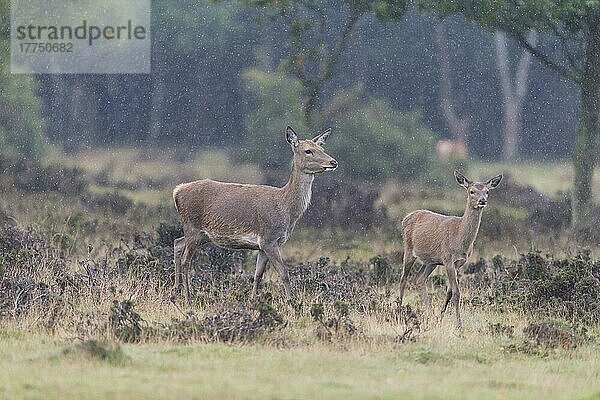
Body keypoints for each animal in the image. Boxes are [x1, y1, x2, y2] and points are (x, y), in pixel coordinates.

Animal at [171, 126, 338, 304]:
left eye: (322, 148)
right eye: (308, 151)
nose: (333, 162)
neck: (285, 207)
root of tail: (177, 191)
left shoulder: (263, 245)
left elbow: (258, 275)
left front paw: (252, 301)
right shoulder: (269, 239)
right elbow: (284, 273)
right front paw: (291, 302)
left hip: (200, 234)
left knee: (177, 243)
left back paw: (175, 291)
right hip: (192, 227)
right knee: (185, 260)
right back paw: (188, 299)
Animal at [398, 170, 502, 330]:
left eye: (487, 191)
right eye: (471, 191)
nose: (482, 201)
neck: (459, 238)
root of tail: (405, 218)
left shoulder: (459, 263)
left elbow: (449, 292)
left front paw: (440, 318)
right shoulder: (447, 259)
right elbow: (457, 292)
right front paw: (459, 325)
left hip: (431, 261)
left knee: (419, 279)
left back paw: (431, 315)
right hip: (409, 250)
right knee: (403, 278)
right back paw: (398, 310)